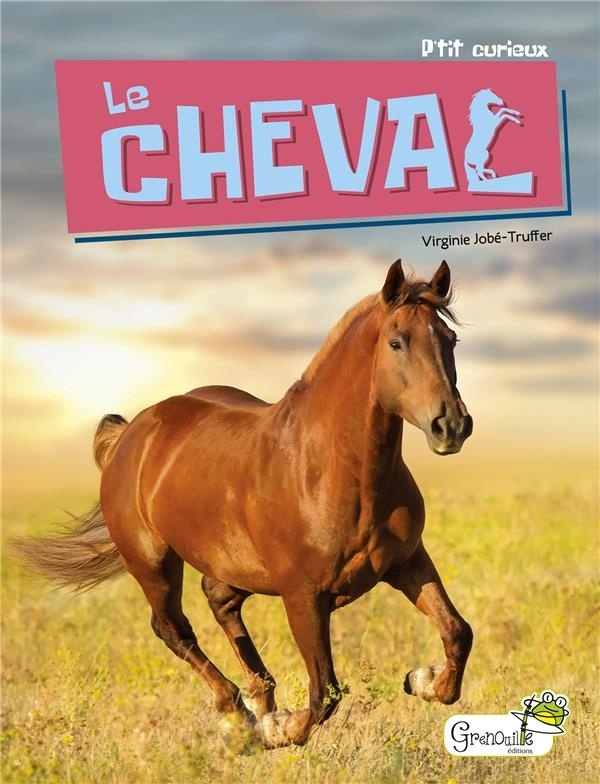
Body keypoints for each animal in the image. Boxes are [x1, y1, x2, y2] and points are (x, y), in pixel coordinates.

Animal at [13, 259, 473, 749]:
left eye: (450, 339)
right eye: (396, 342)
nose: (451, 426)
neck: (334, 472)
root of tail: (132, 433)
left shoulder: (406, 562)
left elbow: (457, 633)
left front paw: (422, 680)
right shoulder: (303, 596)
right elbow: (324, 691)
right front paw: (279, 728)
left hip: (234, 566)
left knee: (219, 601)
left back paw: (259, 699)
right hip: (153, 563)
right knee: (173, 628)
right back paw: (239, 715)